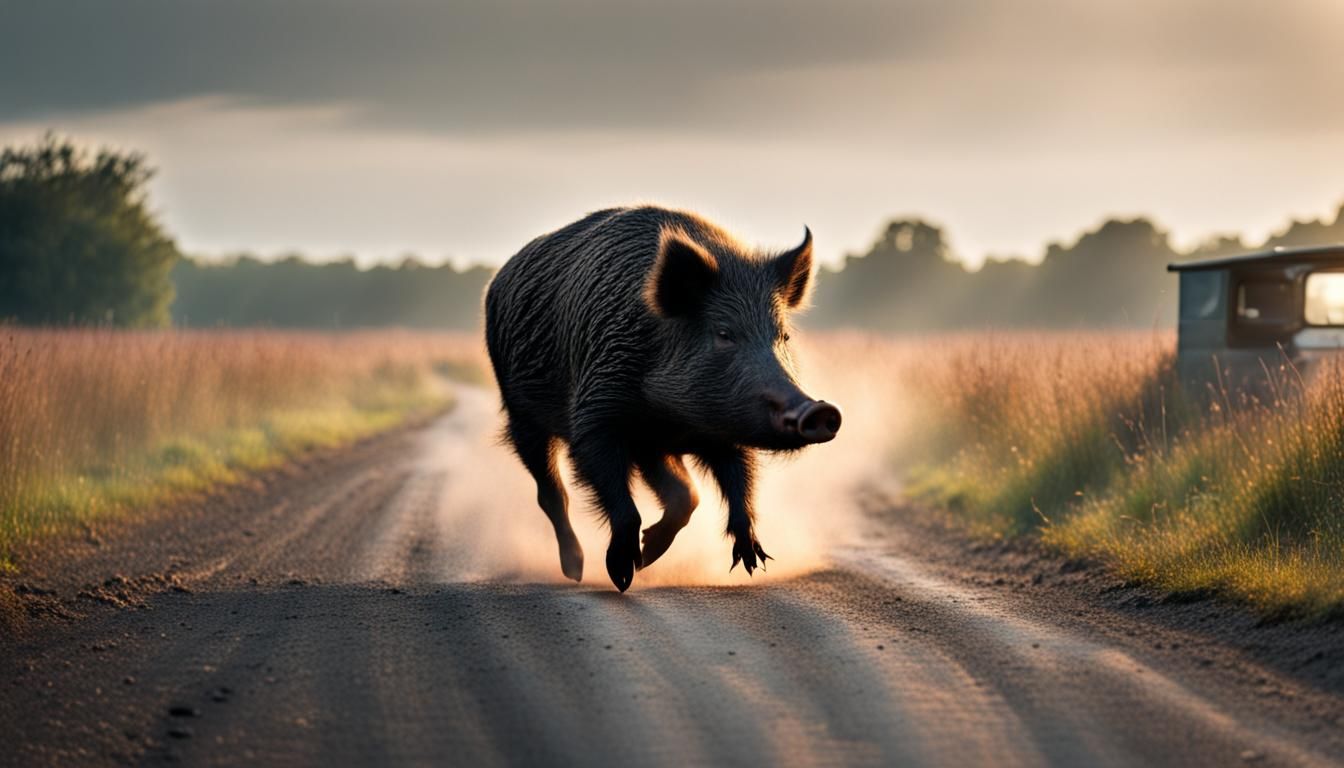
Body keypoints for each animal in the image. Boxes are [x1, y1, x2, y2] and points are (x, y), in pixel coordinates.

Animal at [484, 206, 841, 592]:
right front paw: (622, 576)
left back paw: (648, 556)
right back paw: (576, 570)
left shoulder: (715, 433)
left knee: (685, 494)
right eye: (724, 333)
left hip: (649, 447)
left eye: (784, 336)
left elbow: (737, 483)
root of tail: (498, 280)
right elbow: (617, 495)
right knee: (552, 493)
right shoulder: (595, 417)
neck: (675, 417)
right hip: (521, 415)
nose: (820, 410)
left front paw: (752, 563)